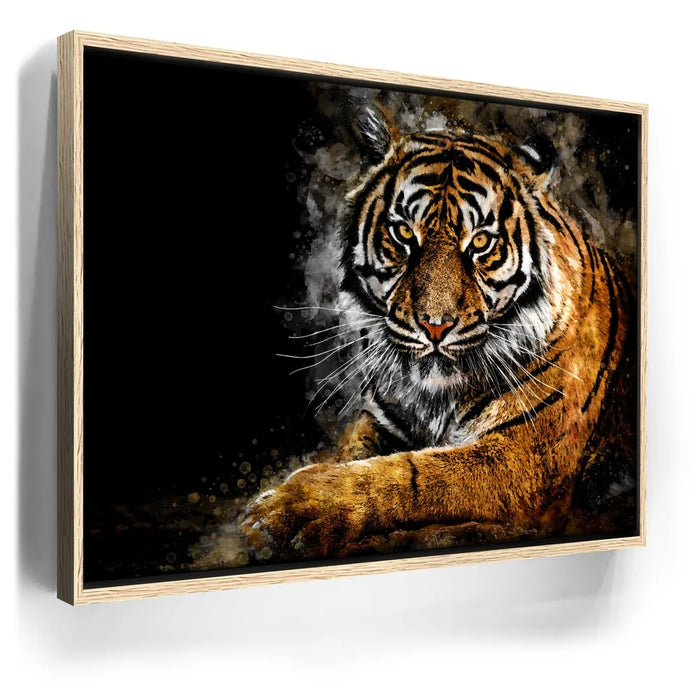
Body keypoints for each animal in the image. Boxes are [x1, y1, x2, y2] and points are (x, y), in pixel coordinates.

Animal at [239, 106, 636, 562]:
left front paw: (288, 510)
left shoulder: (523, 457)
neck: (434, 397)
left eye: (480, 242)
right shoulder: (381, 421)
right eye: (403, 233)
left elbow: (411, 474)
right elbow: (354, 456)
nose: (435, 325)